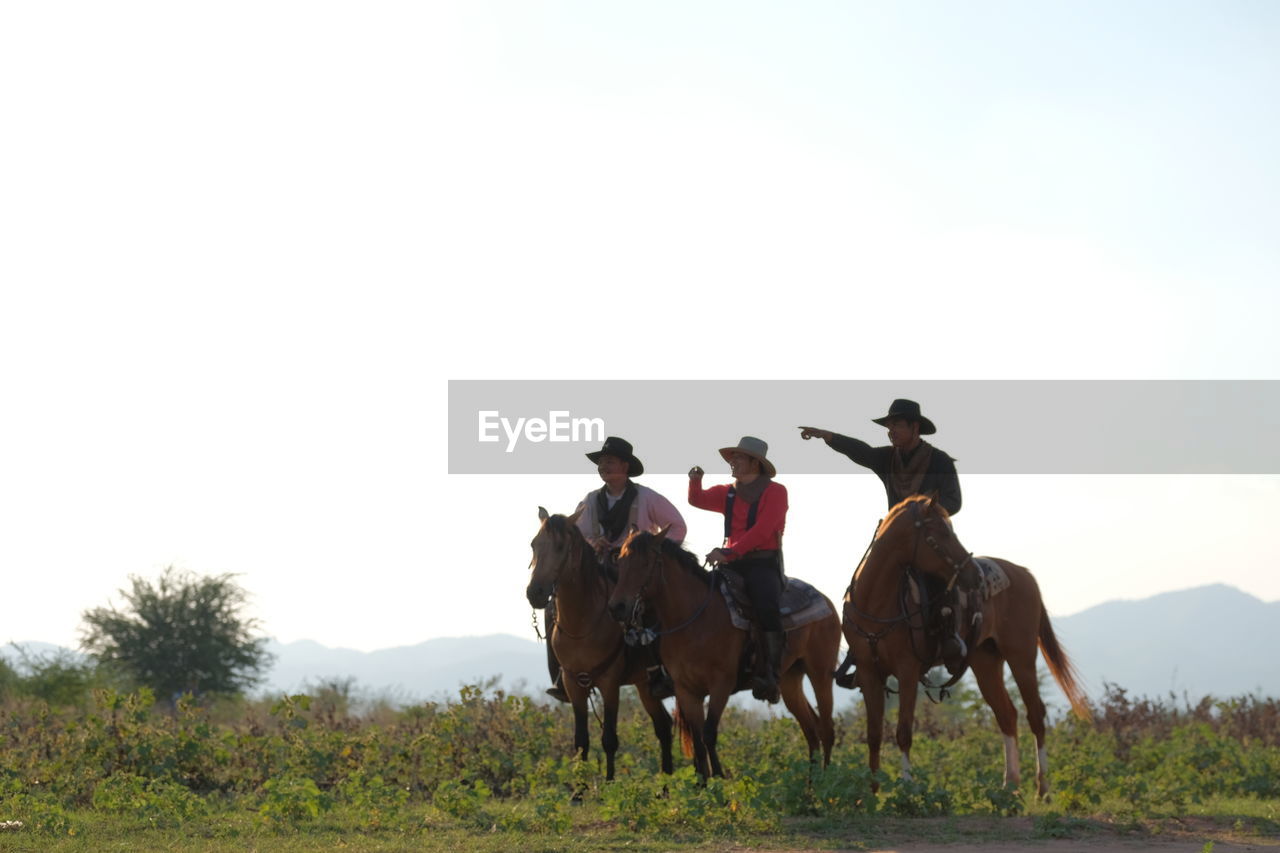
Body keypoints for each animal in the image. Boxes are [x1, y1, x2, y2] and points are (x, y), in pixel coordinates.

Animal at [524, 504, 675, 778]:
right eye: (534, 544)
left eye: (561, 546)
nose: (535, 593)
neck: (583, 622)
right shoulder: (573, 684)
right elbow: (581, 741)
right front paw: (580, 786)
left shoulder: (609, 683)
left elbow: (609, 739)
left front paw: (609, 782)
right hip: (643, 685)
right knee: (663, 726)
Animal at [606, 525, 844, 778]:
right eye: (620, 562)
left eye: (646, 563)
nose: (617, 607)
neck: (694, 620)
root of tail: (826, 600)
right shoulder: (686, 690)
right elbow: (699, 743)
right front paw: (703, 784)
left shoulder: (721, 684)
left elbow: (709, 734)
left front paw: (720, 778)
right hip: (791, 679)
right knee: (811, 730)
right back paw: (811, 783)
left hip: (820, 673)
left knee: (827, 729)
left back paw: (827, 780)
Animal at [839, 494, 1090, 794]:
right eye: (942, 533)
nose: (976, 575)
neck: (875, 604)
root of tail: (1024, 573)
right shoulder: (869, 673)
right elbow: (874, 735)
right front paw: (871, 792)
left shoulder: (907, 671)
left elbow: (903, 733)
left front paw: (908, 789)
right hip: (986, 662)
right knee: (1007, 715)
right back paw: (1010, 786)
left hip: (1021, 657)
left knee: (1035, 714)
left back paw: (1043, 789)